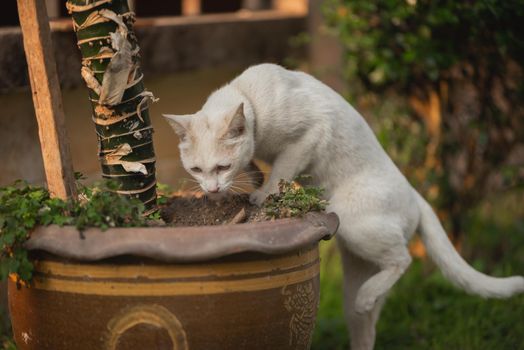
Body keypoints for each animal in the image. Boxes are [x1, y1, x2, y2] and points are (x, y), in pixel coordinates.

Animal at [165, 63, 524, 350]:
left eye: (222, 167)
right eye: (196, 170)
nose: (211, 188)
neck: (249, 95)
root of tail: (415, 193)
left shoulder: (306, 138)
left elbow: (280, 171)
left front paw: (262, 194)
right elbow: (255, 163)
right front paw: (253, 179)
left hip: (353, 223)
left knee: (403, 259)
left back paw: (368, 296)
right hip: (355, 277)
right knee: (367, 326)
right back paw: (367, 303)